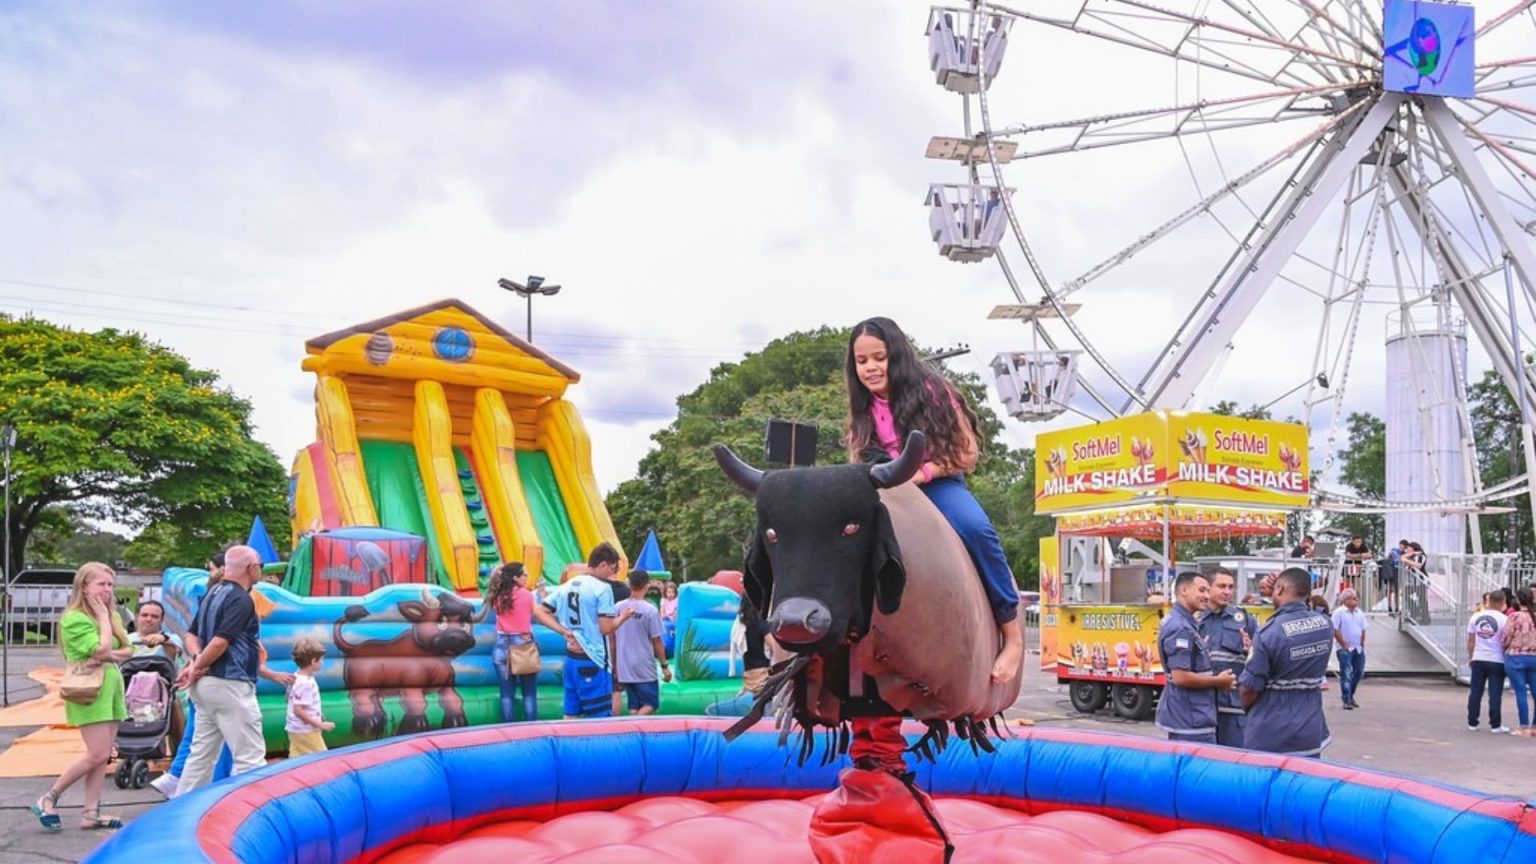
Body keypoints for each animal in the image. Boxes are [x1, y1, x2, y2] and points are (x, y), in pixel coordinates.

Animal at [334, 587, 485, 737]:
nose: (458, 637)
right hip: (363, 684)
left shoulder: (446, 687)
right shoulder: (411, 687)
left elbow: (454, 702)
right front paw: (415, 726)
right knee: (360, 698)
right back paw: (368, 724)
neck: (432, 656)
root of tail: (354, 648)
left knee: (375, 700)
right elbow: (417, 705)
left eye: (465, 624)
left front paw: (456, 722)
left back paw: (378, 721)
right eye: (441, 621)